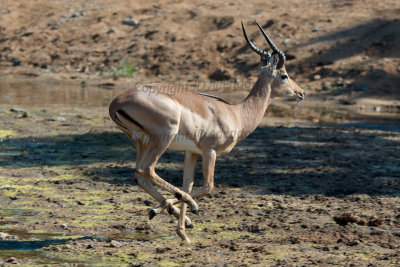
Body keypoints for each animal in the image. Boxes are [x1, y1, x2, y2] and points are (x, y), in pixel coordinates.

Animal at [108, 20, 304, 243]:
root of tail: (117, 102)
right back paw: (186, 207)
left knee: (138, 174)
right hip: (162, 139)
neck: (236, 114)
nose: (301, 92)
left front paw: (182, 232)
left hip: (142, 142)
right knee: (147, 169)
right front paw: (181, 214)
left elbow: (188, 184)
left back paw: (176, 215)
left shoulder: (192, 152)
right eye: (284, 75)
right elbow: (208, 186)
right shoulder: (210, 151)